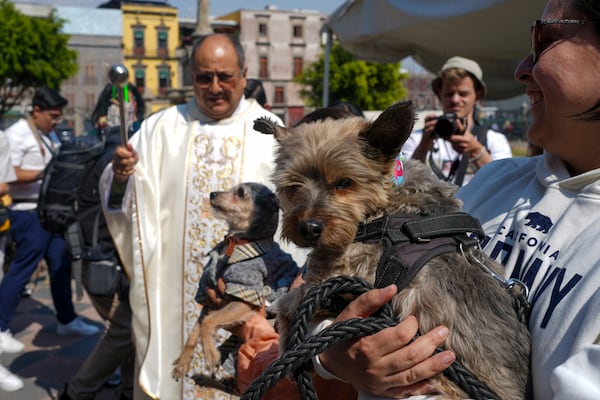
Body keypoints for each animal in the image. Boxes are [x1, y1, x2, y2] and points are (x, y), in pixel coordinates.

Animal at [171, 181, 298, 382]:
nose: (212, 193)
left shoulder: (244, 298)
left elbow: (208, 323)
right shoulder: (208, 299)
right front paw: (183, 363)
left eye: (240, 193)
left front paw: (210, 354)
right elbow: (194, 333)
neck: (235, 243)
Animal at [253, 103, 528, 400]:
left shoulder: (344, 273)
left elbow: (291, 301)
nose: (308, 227)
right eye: (293, 187)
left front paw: (285, 340)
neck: (386, 206)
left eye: (344, 183)